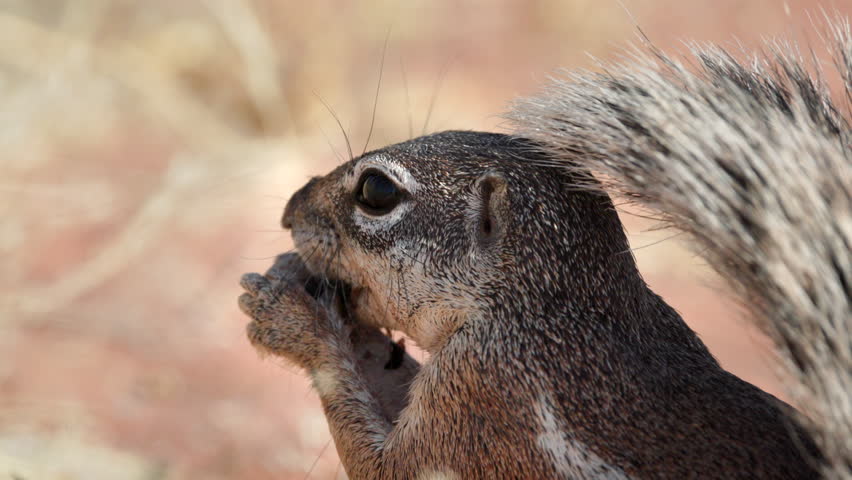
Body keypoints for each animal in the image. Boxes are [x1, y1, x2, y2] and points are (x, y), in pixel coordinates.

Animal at [239, 19, 851, 480]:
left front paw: (293, 320)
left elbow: (381, 463)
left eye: (376, 191)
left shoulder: (479, 400)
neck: (546, 311)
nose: (290, 210)